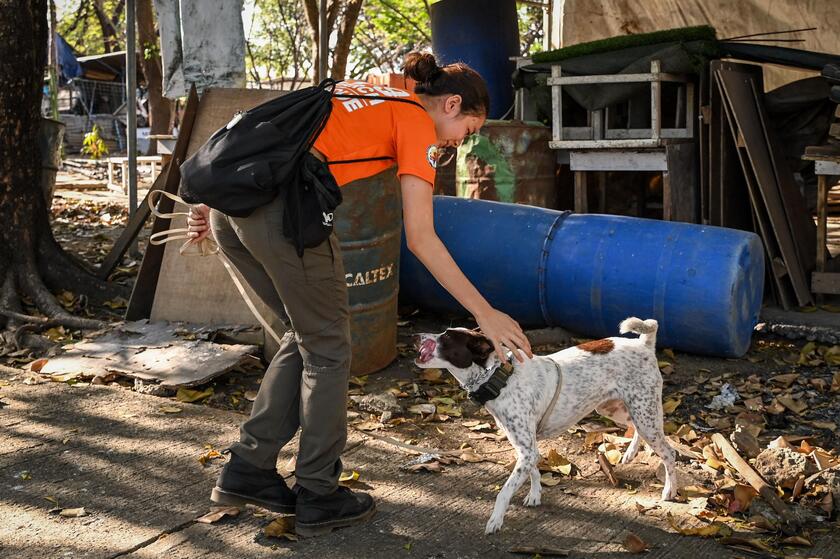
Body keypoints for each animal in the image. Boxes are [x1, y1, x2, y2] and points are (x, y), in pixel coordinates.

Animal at [414, 320, 676, 532]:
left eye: (447, 337)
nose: (416, 336)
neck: (499, 378)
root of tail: (644, 344)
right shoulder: (526, 447)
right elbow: (534, 471)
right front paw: (535, 495)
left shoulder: (527, 450)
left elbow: (504, 491)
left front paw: (495, 520)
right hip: (619, 410)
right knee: (638, 431)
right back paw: (631, 453)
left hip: (644, 414)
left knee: (669, 452)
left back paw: (670, 491)